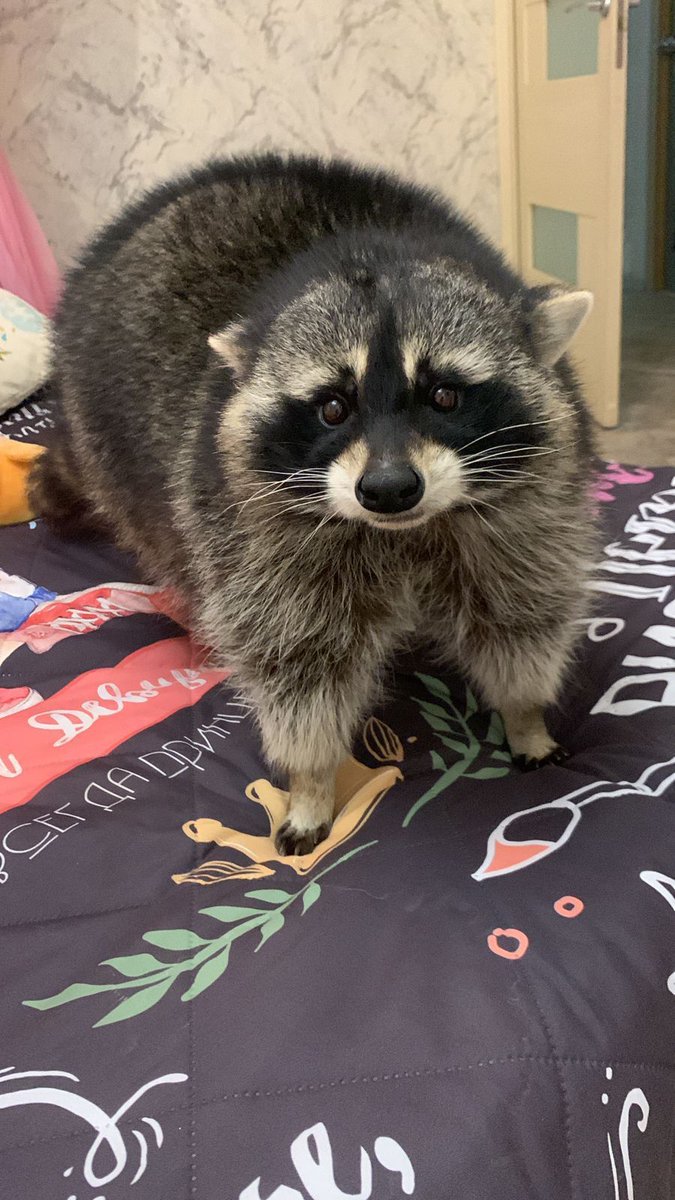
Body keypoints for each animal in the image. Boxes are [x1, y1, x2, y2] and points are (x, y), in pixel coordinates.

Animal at [32, 154, 597, 855]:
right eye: (333, 407)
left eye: (443, 395)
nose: (388, 489)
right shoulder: (255, 538)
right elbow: (298, 665)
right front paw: (310, 778)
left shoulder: (527, 509)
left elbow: (519, 613)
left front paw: (524, 713)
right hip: (115, 442)